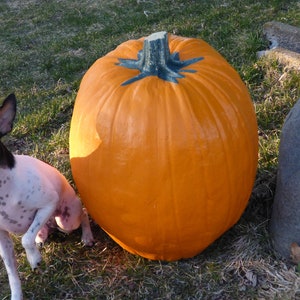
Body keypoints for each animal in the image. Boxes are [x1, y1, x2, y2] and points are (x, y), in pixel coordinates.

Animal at [0, 94, 94, 300]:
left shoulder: (48, 203)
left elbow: (25, 239)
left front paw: (34, 259)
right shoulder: (3, 239)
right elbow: (12, 273)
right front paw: (17, 295)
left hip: (66, 221)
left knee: (83, 213)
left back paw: (87, 236)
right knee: (39, 231)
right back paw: (41, 237)